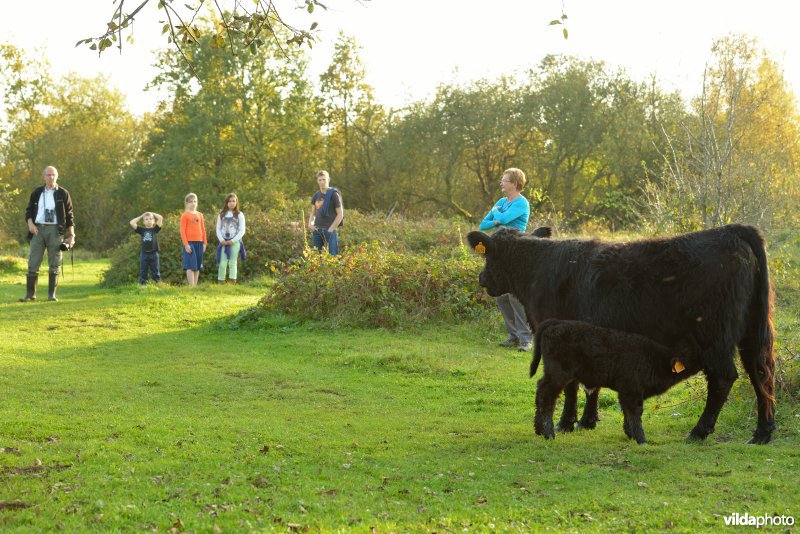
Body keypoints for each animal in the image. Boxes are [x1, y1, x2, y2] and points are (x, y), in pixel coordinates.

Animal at [532, 320, 700, 446]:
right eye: (693, 351)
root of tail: (557, 323)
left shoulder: (626, 391)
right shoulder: (632, 391)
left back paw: (539, 429)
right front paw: (641, 439)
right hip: (558, 375)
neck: (655, 358)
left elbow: (627, 411)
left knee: (540, 389)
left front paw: (630, 434)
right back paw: (548, 433)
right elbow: (635, 413)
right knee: (546, 396)